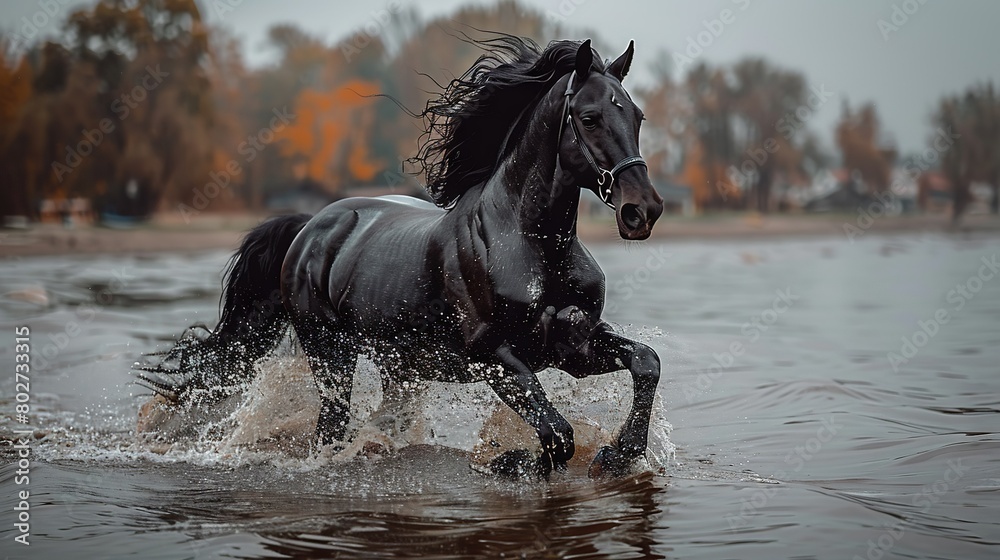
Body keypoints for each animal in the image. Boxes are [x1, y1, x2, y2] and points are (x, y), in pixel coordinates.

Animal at [135, 37, 664, 480]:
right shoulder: (494, 355)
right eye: (590, 117)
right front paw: (507, 462)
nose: (643, 210)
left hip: (400, 366)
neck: (535, 246)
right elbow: (557, 434)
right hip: (331, 354)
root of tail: (309, 227)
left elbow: (645, 362)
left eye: (638, 116)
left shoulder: (571, 348)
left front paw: (618, 454)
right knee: (331, 428)